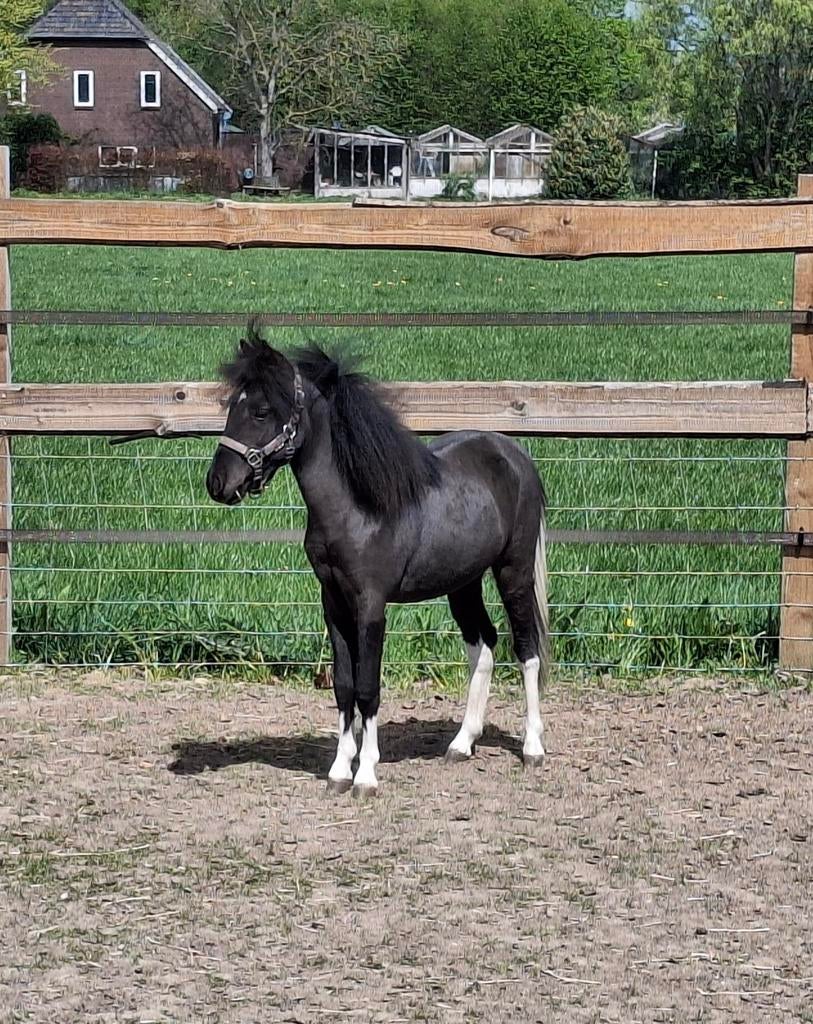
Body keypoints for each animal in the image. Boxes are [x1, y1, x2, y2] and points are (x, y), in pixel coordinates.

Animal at [206, 328, 549, 798]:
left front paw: (365, 775)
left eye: (261, 410)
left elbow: (368, 687)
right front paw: (338, 771)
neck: (356, 506)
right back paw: (462, 744)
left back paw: (533, 747)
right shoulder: (332, 602)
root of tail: (515, 454)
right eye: (231, 407)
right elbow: (344, 685)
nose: (218, 483)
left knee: (526, 647)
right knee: (483, 645)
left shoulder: (371, 604)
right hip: (463, 582)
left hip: (512, 570)